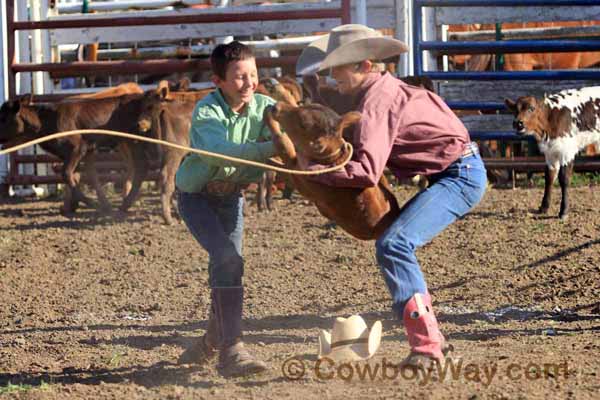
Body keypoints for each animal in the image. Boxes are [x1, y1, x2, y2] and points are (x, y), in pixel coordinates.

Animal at [506, 87, 600, 219]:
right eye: (515, 109)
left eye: (531, 108)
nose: (518, 123)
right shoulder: (550, 153)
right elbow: (549, 177)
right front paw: (544, 207)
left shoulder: (567, 151)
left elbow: (564, 179)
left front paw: (563, 211)